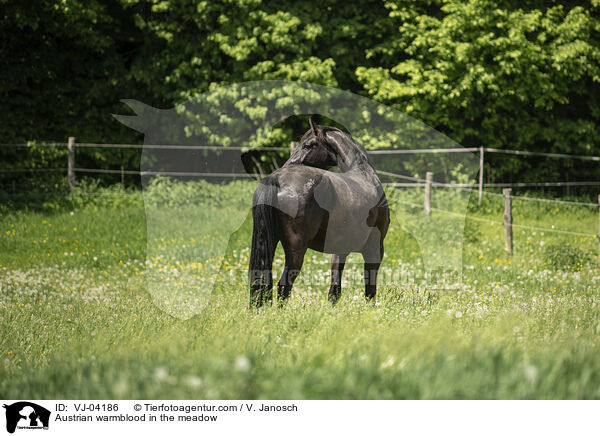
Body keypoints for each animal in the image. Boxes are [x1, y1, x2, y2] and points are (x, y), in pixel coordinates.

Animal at [248, 119, 390, 306]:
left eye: (308, 145)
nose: (288, 164)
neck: (364, 175)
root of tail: (276, 179)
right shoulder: (374, 249)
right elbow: (370, 289)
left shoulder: (340, 250)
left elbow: (335, 289)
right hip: (296, 251)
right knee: (284, 286)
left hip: (270, 242)